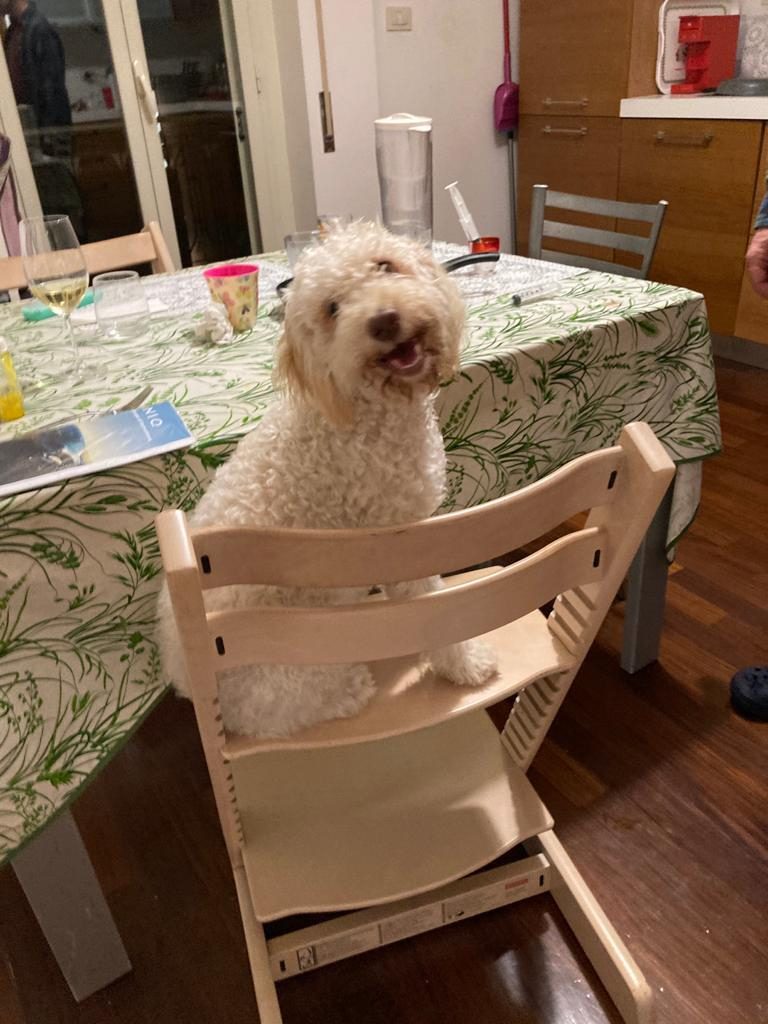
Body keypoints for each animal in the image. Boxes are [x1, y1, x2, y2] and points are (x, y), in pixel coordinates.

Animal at [158, 222, 498, 737]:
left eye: (385, 266)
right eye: (332, 308)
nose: (383, 320)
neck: (363, 411)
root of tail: (191, 687)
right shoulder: (401, 543)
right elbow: (435, 617)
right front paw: (467, 664)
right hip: (294, 677)